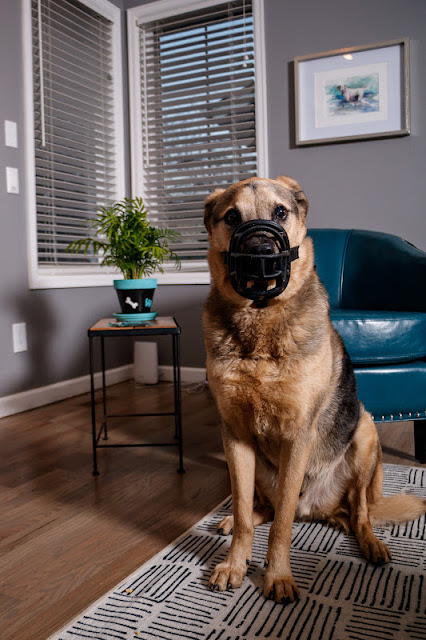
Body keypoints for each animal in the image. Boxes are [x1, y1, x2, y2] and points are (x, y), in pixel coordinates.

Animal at [203, 175, 426, 604]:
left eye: (280, 213)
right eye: (232, 217)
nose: (260, 253)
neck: (260, 323)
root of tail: (319, 510)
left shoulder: (297, 437)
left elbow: (282, 526)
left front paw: (277, 576)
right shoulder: (234, 436)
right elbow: (244, 512)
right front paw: (236, 563)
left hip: (365, 433)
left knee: (359, 513)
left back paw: (371, 543)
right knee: (261, 507)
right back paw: (233, 523)